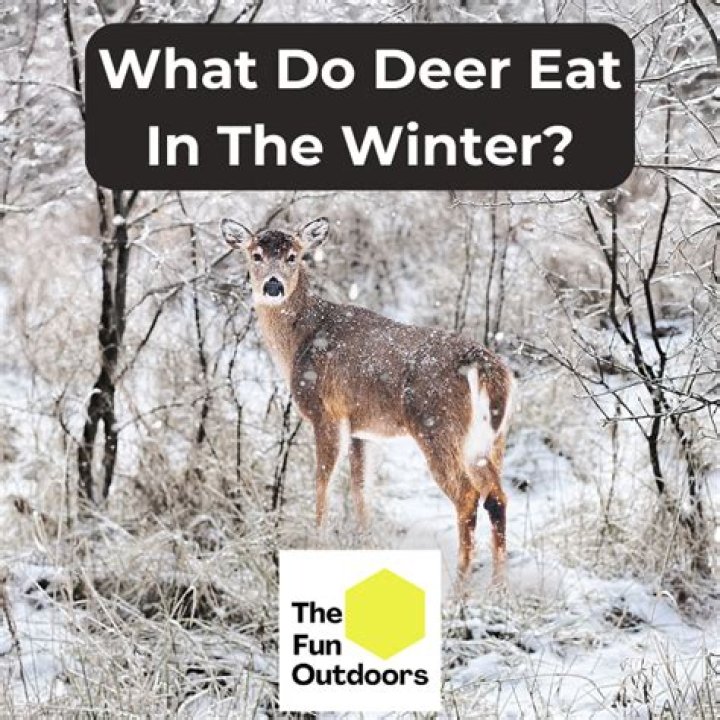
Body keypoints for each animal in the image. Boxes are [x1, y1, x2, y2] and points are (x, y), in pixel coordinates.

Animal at [221, 216, 514, 583]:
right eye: (256, 255)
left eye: (293, 256)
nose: (273, 287)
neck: (298, 342)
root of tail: (484, 365)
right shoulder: (361, 427)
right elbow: (361, 490)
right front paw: (364, 543)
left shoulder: (326, 412)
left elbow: (323, 483)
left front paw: (318, 543)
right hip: (491, 439)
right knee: (497, 497)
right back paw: (498, 587)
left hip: (437, 427)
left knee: (468, 496)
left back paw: (460, 584)